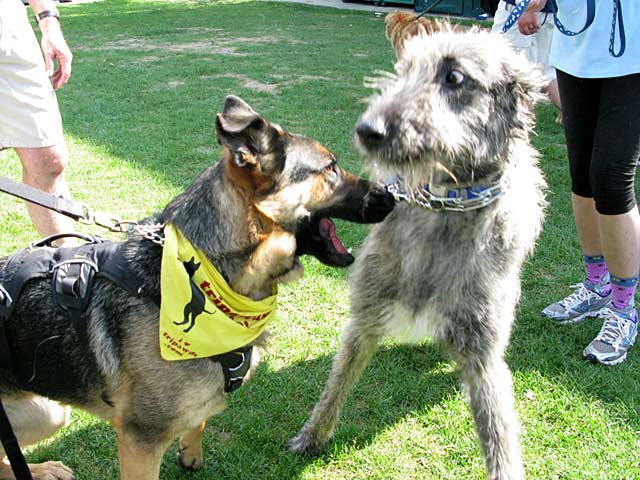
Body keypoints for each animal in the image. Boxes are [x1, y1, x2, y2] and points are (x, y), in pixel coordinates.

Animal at [0, 95, 396, 478]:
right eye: (331, 168)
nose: (391, 195)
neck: (206, 277)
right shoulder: (140, 439)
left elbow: (199, 422)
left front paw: (190, 453)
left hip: (47, 412)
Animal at [288, 25, 548, 480]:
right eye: (403, 70)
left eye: (455, 77)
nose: (367, 130)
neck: (445, 206)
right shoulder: (364, 319)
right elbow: (336, 384)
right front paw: (312, 435)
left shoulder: (483, 353)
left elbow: (499, 436)